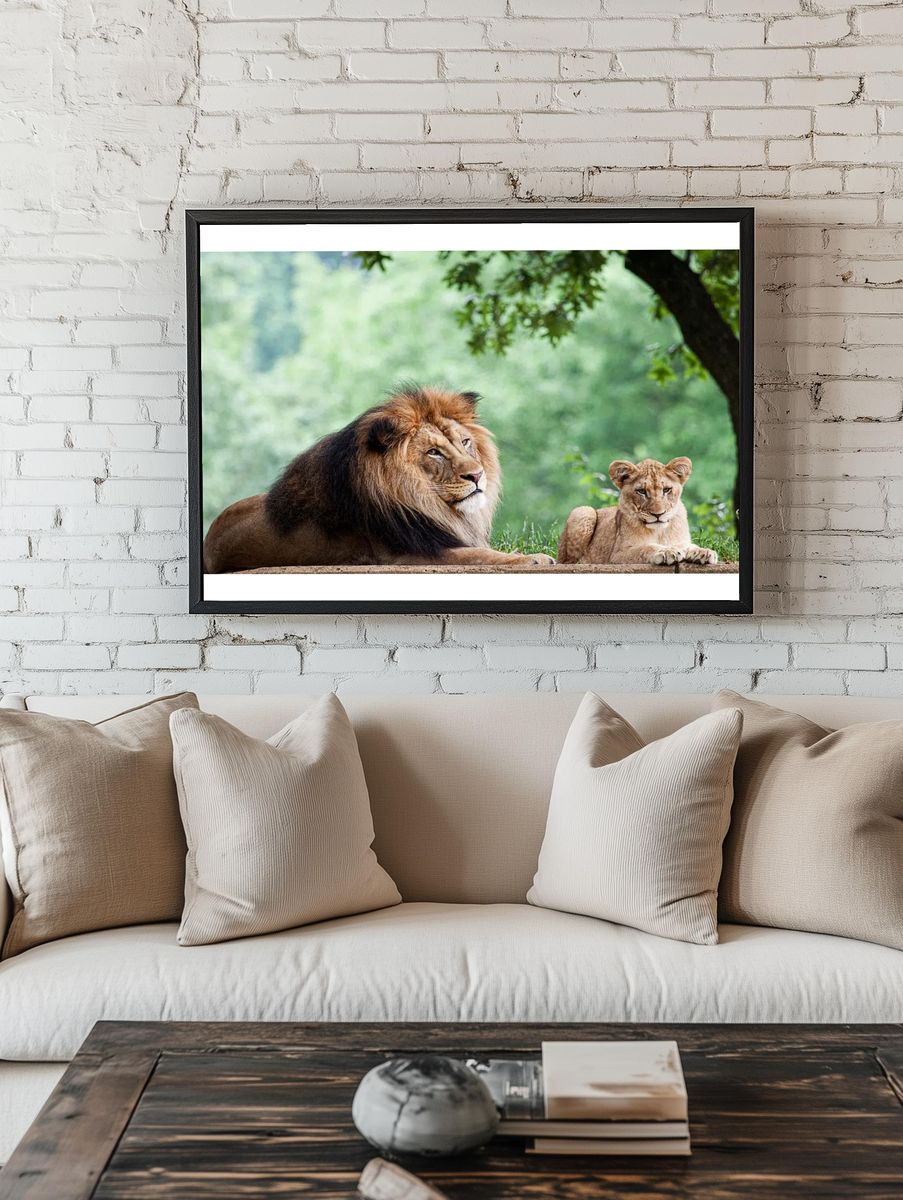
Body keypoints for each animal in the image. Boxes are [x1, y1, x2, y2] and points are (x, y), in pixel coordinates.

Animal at [203, 386, 555, 572]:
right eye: (433, 452)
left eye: (465, 442)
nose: (477, 474)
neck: (425, 502)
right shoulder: (408, 555)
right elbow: (480, 555)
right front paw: (534, 558)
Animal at [557, 457, 718, 567]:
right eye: (641, 491)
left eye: (666, 490)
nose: (658, 514)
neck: (659, 531)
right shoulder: (617, 556)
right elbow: (645, 547)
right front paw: (665, 552)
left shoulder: (682, 541)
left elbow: (688, 546)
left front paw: (703, 552)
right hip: (584, 511)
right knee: (568, 561)